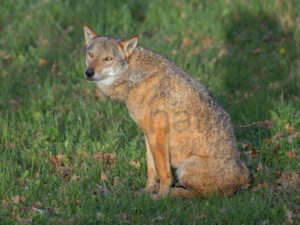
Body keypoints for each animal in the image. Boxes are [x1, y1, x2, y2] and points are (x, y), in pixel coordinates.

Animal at [83, 23, 252, 198]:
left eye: (108, 59)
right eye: (91, 54)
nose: (89, 72)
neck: (136, 79)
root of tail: (243, 177)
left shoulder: (158, 134)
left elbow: (163, 173)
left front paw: (161, 197)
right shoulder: (148, 135)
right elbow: (152, 169)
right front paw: (147, 191)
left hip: (185, 169)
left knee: (201, 195)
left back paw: (175, 193)